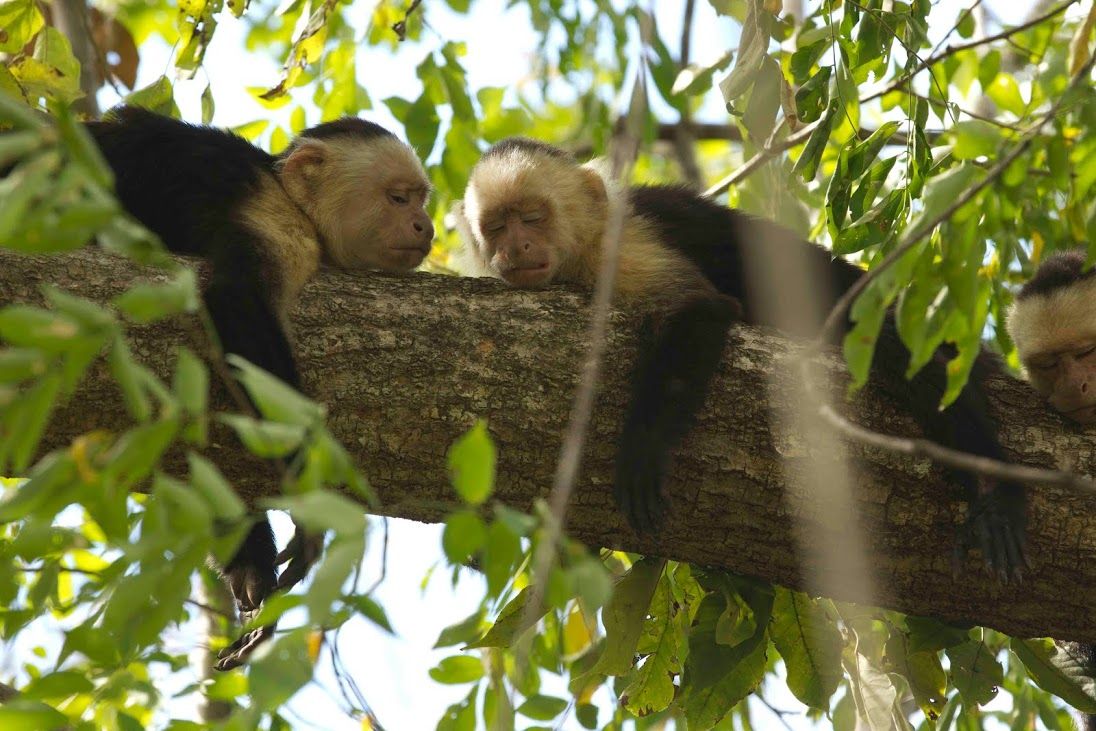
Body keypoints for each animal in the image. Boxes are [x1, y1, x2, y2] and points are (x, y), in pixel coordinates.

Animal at [84, 106, 434, 669]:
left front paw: (251, 571)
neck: (289, 194)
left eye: (421, 199)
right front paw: (309, 505)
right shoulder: (277, 219)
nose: (425, 225)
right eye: (398, 198)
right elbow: (237, 300)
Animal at [452, 137, 1027, 581]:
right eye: (497, 227)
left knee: (895, 348)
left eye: (532, 217)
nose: (518, 247)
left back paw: (994, 492)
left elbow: (700, 310)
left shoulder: (622, 249)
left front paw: (642, 452)